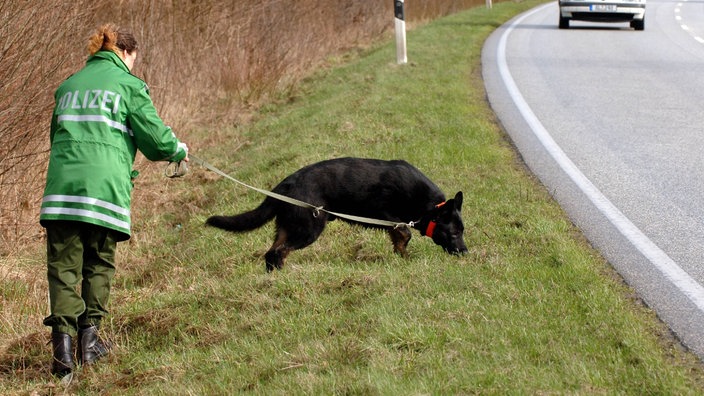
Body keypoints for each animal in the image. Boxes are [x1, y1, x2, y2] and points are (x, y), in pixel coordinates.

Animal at [204, 156, 468, 270]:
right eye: (454, 232)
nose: (465, 252)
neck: (431, 207)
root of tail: (286, 184)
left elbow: (400, 238)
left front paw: (401, 256)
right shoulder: (384, 214)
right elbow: (404, 234)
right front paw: (404, 255)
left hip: (291, 228)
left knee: (271, 252)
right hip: (308, 229)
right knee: (279, 252)